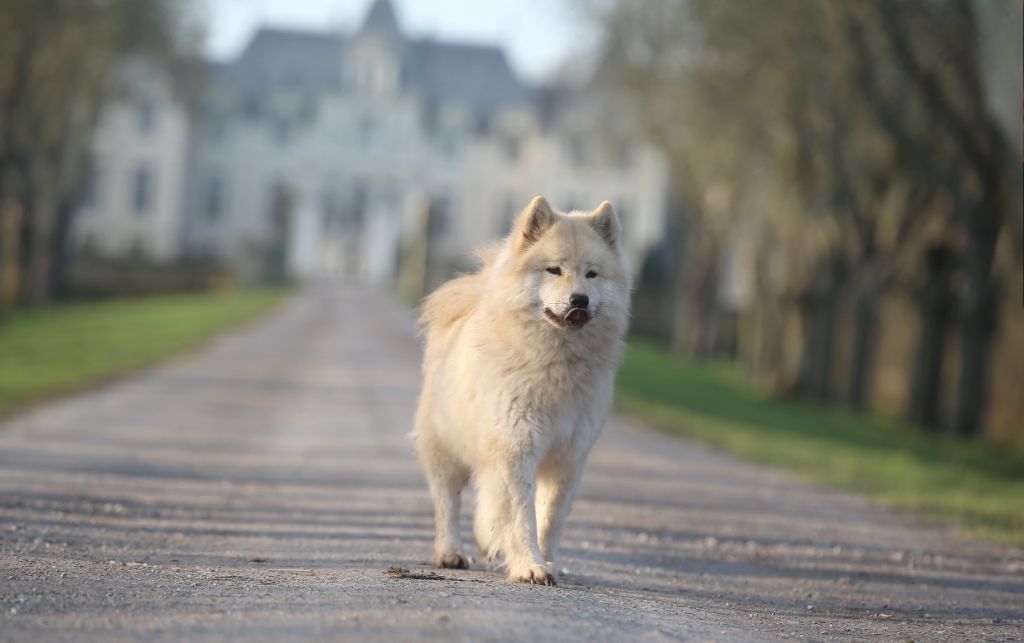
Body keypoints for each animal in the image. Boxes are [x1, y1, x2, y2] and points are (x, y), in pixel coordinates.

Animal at [411, 194, 626, 581]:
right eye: (554, 270)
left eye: (592, 273)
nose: (580, 299)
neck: (556, 363)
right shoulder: (516, 447)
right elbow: (521, 515)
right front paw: (530, 564)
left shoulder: (568, 458)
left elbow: (549, 517)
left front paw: (546, 559)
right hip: (446, 450)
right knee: (449, 504)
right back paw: (451, 552)